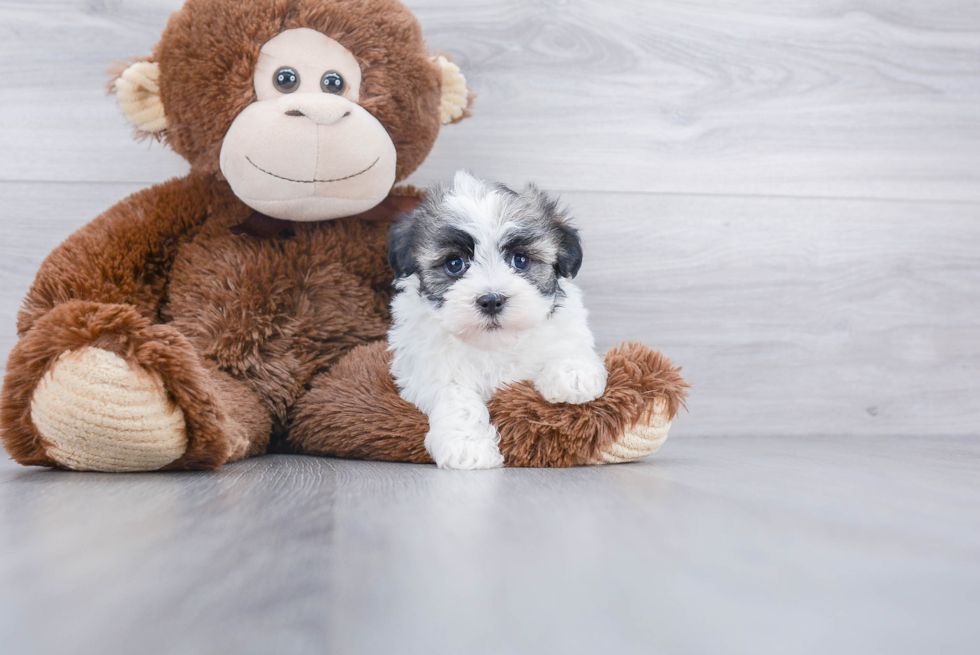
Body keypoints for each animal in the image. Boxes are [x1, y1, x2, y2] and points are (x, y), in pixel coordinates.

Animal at [388, 173, 604, 472]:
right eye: (454, 264)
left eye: (520, 260)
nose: (491, 300)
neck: (494, 344)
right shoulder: (427, 368)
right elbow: (457, 398)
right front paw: (467, 446)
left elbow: (565, 345)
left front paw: (573, 375)